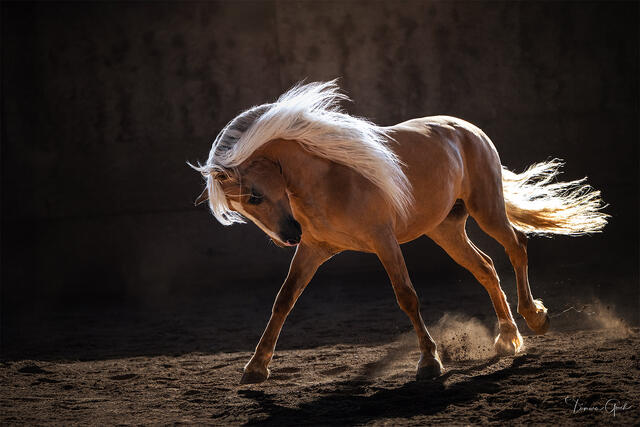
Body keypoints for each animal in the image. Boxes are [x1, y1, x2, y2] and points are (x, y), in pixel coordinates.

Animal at [190, 80, 608, 384]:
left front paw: (429, 363)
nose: (288, 235)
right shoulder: (313, 250)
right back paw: (507, 339)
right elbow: (283, 301)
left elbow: (407, 296)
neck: (329, 179)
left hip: (486, 209)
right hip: (446, 230)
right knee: (486, 267)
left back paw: (535, 319)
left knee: (516, 246)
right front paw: (255, 368)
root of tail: (468, 129)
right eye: (241, 207)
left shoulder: (383, 241)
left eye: (254, 195)